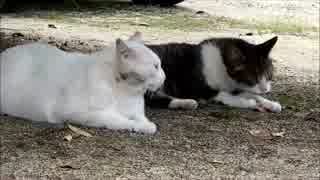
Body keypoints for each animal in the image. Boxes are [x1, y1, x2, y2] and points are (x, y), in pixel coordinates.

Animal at [0, 32, 165, 134]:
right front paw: (135, 125)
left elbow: (141, 118)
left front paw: (146, 124)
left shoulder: (135, 110)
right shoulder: (78, 112)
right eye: (156, 66)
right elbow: (117, 119)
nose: (164, 77)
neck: (126, 91)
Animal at [146, 36, 282, 112]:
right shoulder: (194, 86)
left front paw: (270, 103)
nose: (265, 89)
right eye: (253, 77)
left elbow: (250, 93)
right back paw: (186, 102)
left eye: (269, 74)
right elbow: (221, 94)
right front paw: (245, 102)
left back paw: (185, 103)